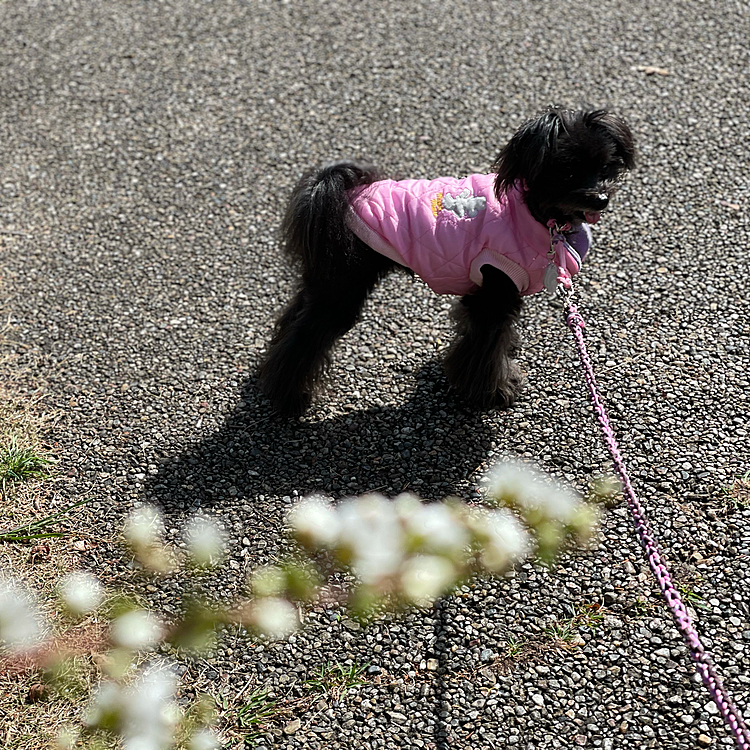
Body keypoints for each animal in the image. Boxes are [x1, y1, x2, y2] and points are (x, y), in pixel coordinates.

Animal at [258, 107, 636, 418]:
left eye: (606, 166)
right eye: (568, 171)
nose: (601, 198)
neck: (535, 213)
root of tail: (336, 192)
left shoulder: (480, 287)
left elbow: (481, 336)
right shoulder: (496, 288)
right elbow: (485, 346)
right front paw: (493, 390)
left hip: (326, 278)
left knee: (296, 315)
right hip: (344, 285)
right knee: (307, 337)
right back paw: (289, 396)